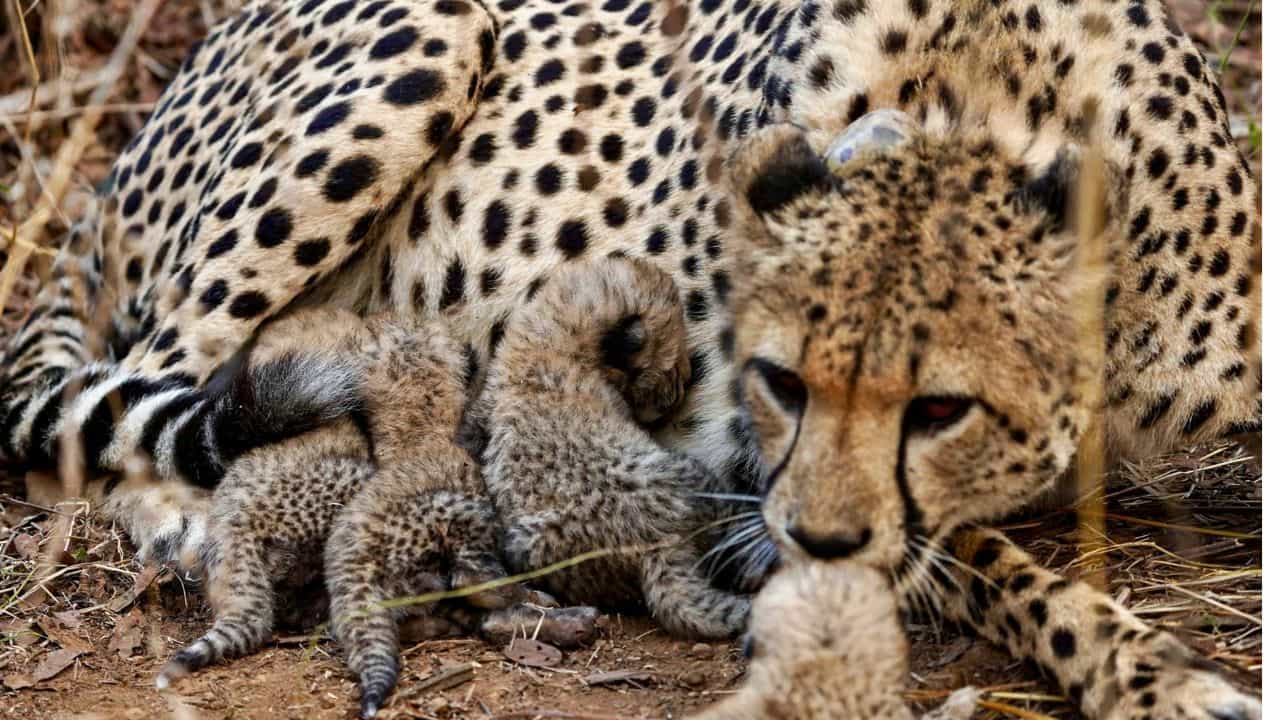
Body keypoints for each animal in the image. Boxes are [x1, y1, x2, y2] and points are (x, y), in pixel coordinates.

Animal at [465, 253, 753, 641]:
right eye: (676, 362)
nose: (678, 391)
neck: (552, 341)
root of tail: (657, 546)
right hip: (690, 475)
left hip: (524, 543)